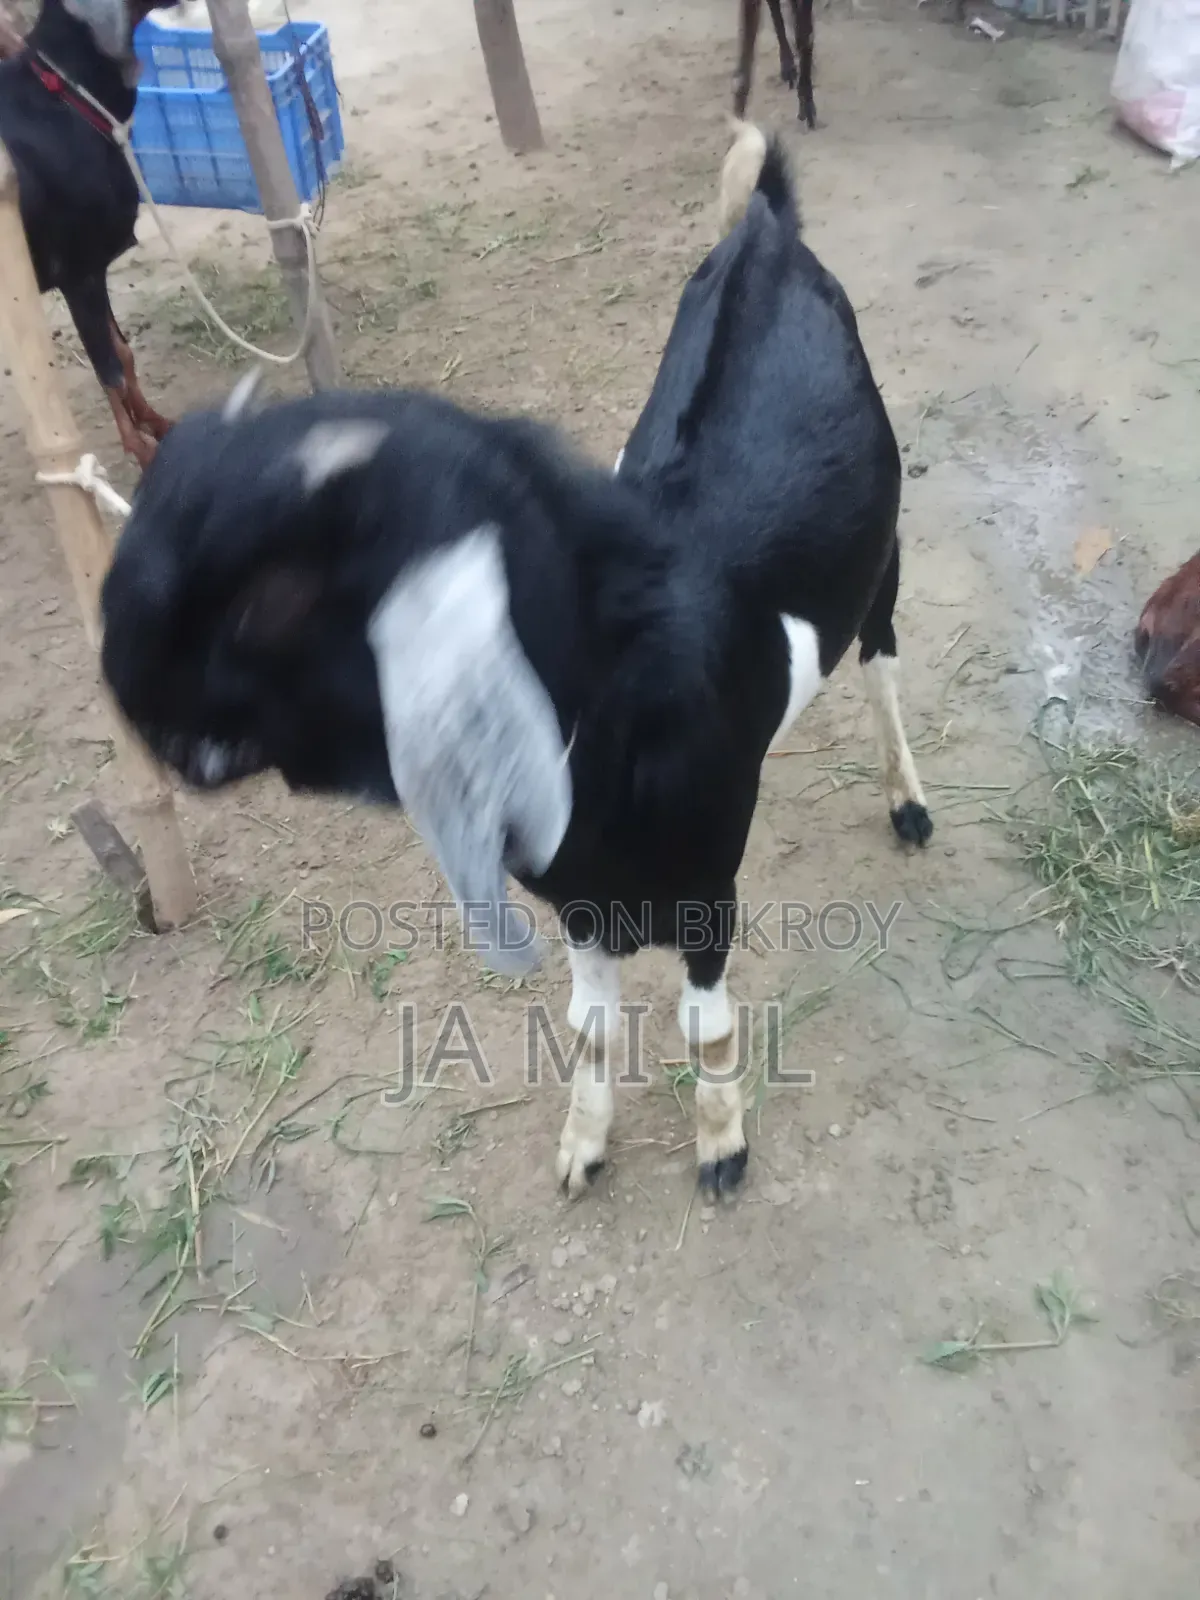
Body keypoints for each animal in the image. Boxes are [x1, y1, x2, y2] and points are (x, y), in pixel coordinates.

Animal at [0, 0, 177, 468]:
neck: (65, 98)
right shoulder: (78, 275)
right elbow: (109, 372)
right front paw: (143, 453)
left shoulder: (95, 270)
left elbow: (123, 353)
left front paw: (156, 423)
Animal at [98, 121, 930, 1202]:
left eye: (269, 593)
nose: (128, 678)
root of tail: (766, 232)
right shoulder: (578, 899)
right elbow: (587, 1024)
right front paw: (584, 1144)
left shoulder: (705, 885)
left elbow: (705, 1023)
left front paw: (720, 1147)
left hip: (887, 558)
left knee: (881, 661)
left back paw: (908, 800)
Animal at [734, 0, 816, 129]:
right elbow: (748, 39)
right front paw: (739, 107)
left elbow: (805, 34)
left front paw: (806, 103)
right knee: (775, 10)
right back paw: (788, 67)